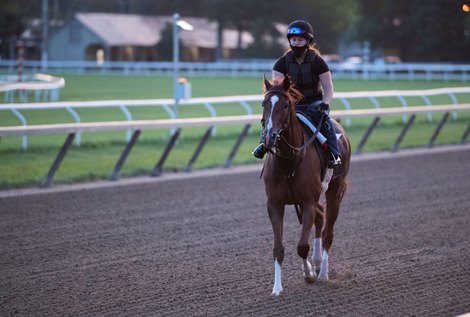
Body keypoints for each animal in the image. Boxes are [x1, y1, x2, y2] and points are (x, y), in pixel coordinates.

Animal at [260, 75, 348, 296]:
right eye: (263, 104)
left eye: (285, 105)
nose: (269, 137)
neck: (288, 161)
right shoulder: (274, 203)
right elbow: (278, 248)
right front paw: (277, 288)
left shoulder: (308, 200)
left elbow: (302, 246)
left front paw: (309, 275)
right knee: (320, 216)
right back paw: (316, 263)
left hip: (336, 189)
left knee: (328, 232)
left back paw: (322, 273)